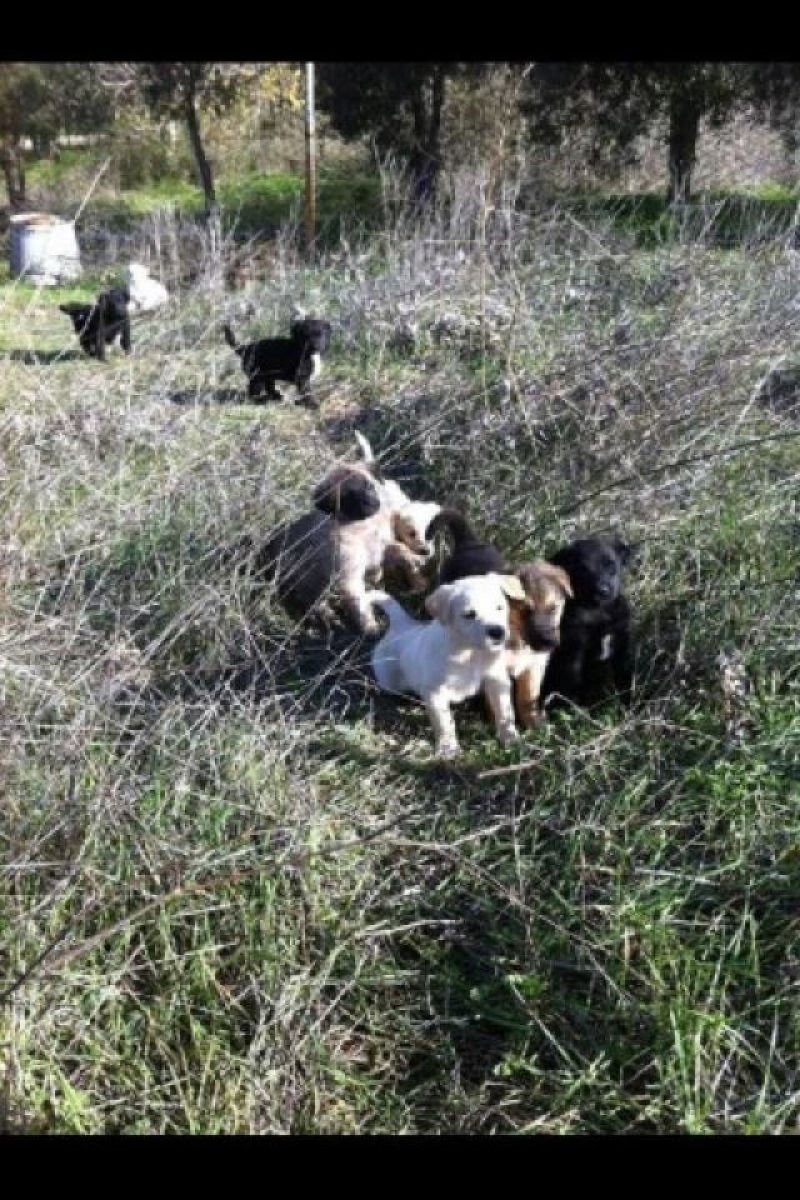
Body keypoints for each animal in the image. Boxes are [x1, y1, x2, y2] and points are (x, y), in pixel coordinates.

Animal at [371, 573, 532, 758]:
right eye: (469, 614)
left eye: (499, 607)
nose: (497, 632)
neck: (469, 653)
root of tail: (402, 625)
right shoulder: (435, 692)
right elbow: (444, 722)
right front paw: (448, 748)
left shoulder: (497, 681)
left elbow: (505, 711)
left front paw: (511, 738)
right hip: (390, 682)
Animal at [542, 537, 633, 710]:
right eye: (583, 569)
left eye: (611, 566)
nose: (603, 590)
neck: (598, 611)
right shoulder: (573, 653)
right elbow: (571, 688)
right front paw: (575, 713)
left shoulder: (622, 646)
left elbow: (625, 679)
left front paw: (629, 706)